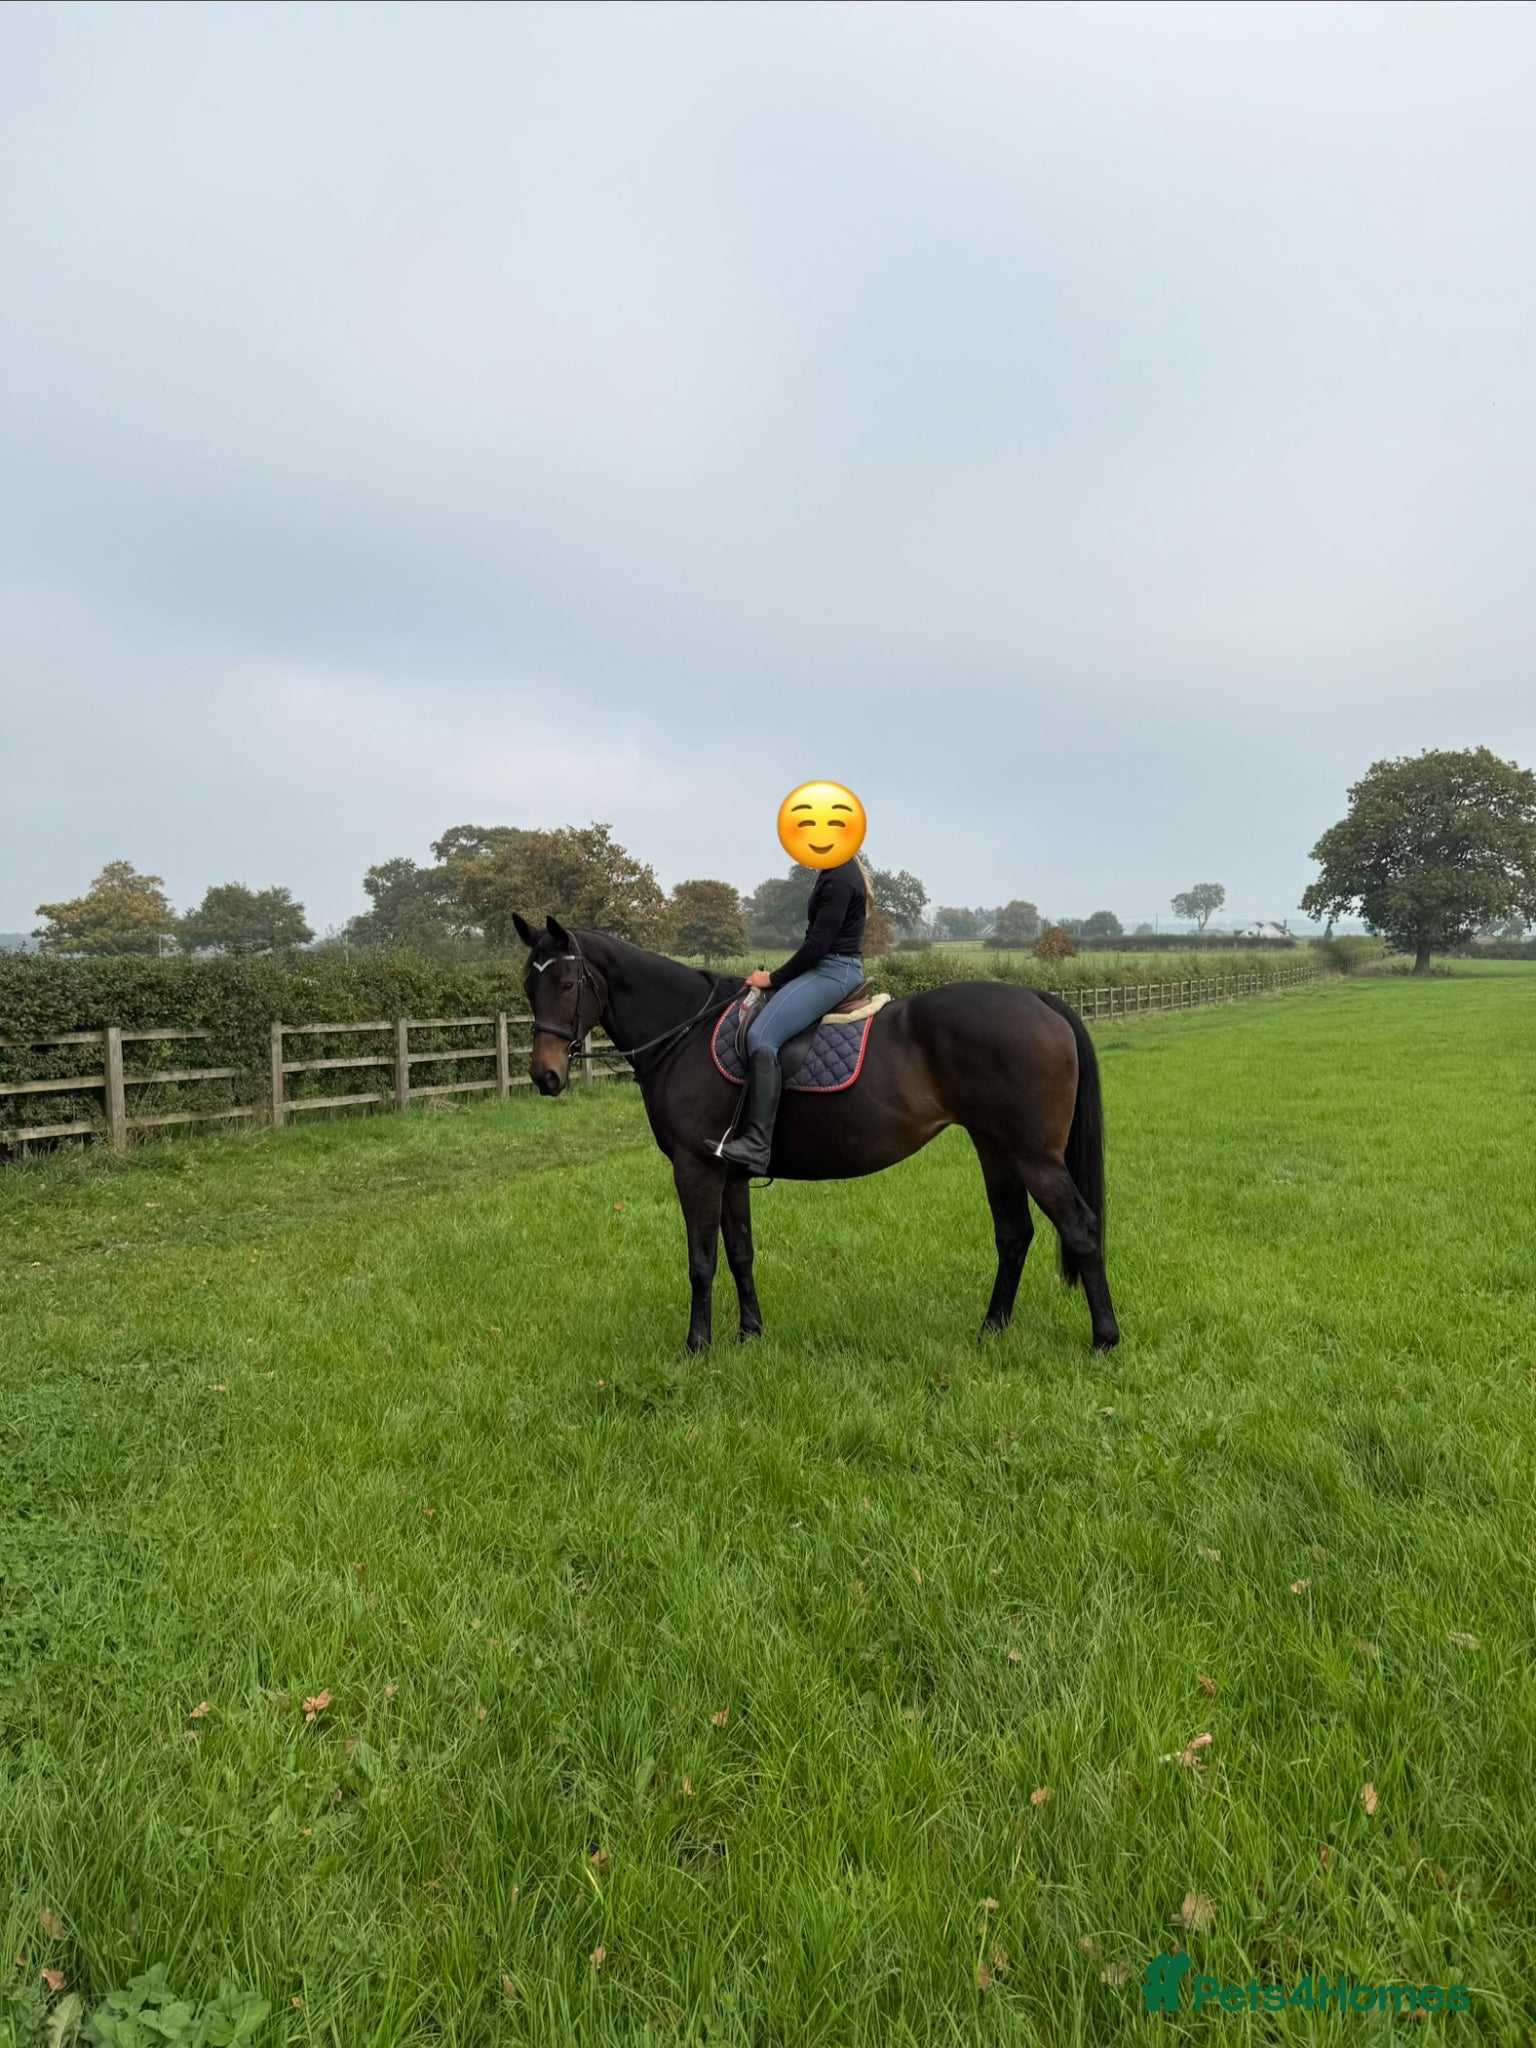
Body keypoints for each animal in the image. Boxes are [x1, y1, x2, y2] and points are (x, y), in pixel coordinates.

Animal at [512, 914, 1119, 1355]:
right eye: (527, 984)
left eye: (566, 982)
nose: (545, 1076)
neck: (686, 1032)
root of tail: (1038, 998)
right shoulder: (730, 1173)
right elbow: (740, 1251)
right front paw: (749, 1335)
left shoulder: (695, 1169)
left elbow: (702, 1259)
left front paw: (696, 1348)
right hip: (996, 1149)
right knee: (1014, 1234)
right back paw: (991, 1330)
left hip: (1033, 1156)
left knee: (1082, 1229)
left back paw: (1104, 1340)